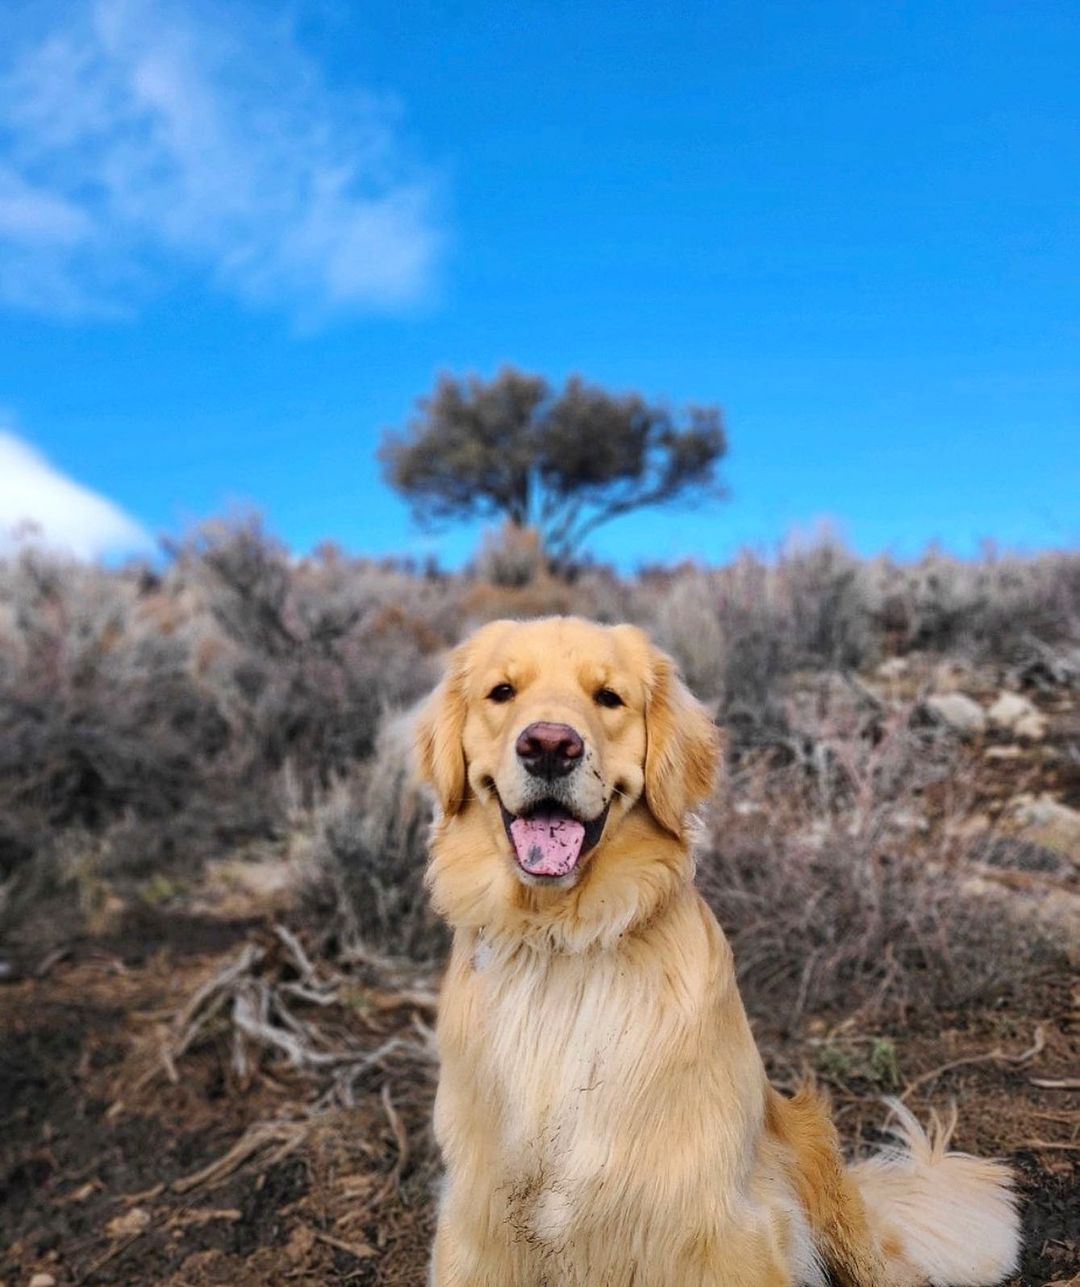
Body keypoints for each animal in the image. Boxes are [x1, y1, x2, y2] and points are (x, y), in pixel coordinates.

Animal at [417, 617, 1024, 1281]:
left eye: (609, 697)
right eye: (502, 692)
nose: (550, 745)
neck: (563, 945)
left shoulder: (716, 1223)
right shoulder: (479, 1230)